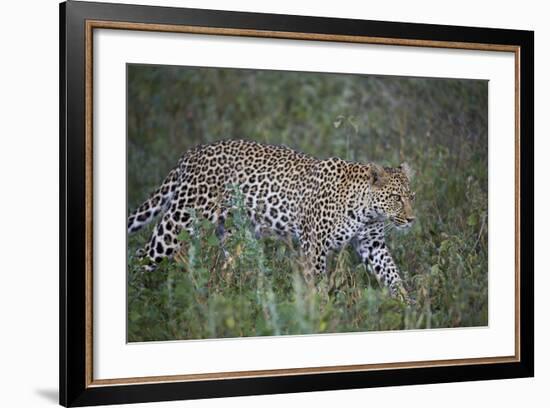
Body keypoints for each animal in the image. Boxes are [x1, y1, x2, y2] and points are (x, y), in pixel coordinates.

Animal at [127, 139, 416, 302]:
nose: (412, 219)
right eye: (396, 198)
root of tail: (191, 153)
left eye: (411, 196)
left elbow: (392, 273)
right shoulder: (314, 246)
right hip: (177, 224)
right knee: (142, 255)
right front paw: (321, 310)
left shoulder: (372, 244)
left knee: (224, 269)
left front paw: (407, 305)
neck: (366, 212)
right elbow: (318, 283)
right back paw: (139, 301)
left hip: (232, 236)